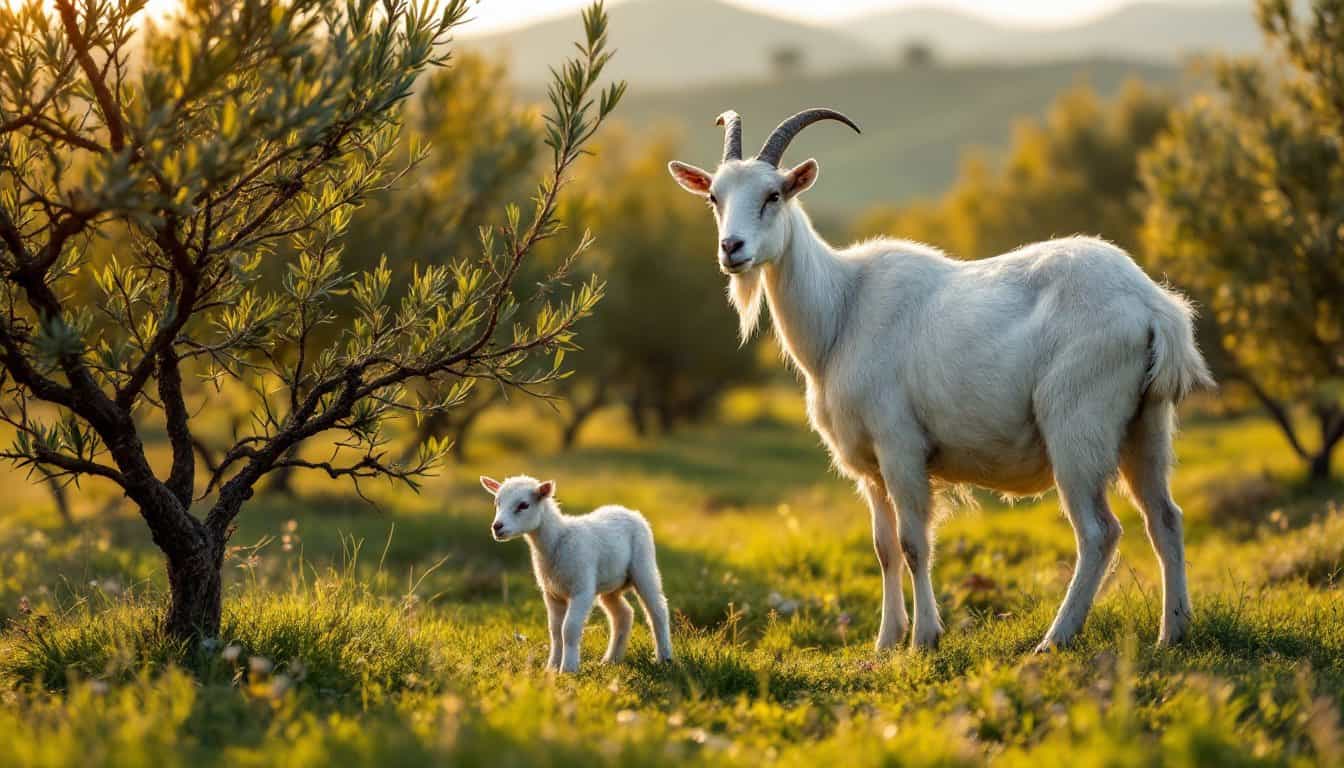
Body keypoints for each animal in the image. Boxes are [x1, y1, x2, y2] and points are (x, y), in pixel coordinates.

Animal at [482, 475, 674, 672]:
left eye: (523, 505)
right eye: (497, 503)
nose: (497, 527)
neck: (557, 540)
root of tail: (630, 511)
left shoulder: (582, 590)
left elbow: (569, 629)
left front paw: (568, 668)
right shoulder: (552, 593)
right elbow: (555, 631)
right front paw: (552, 667)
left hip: (644, 564)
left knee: (658, 609)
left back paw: (663, 658)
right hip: (610, 583)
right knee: (623, 614)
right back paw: (610, 660)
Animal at [667, 109, 1214, 652]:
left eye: (774, 194)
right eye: (714, 197)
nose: (732, 248)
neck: (842, 310)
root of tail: (1153, 306)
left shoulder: (900, 446)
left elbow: (914, 544)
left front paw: (925, 638)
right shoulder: (869, 466)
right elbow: (883, 548)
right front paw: (886, 641)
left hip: (1078, 423)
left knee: (1100, 531)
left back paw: (1054, 639)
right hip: (1146, 423)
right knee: (1165, 518)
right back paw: (1172, 632)